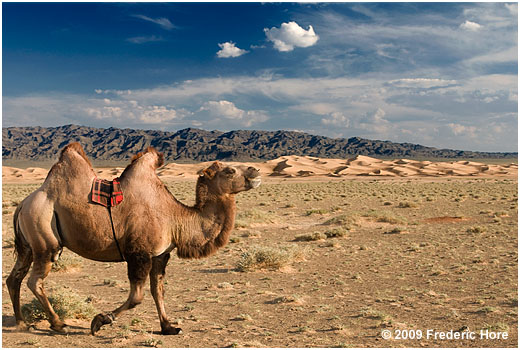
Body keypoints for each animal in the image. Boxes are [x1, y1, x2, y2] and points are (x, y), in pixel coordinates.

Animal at [6, 143, 262, 336]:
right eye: (230, 171)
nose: (256, 171)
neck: (174, 217)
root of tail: (23, 204)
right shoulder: (138, 253)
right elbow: (137, 296)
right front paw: (100, 320)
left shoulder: (160, 255)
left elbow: (158, 290)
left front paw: (169, 327)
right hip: (45, 239)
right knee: (34, 281)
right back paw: (58, 323)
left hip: (28, 245)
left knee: (14, 278)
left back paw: (22, 323)